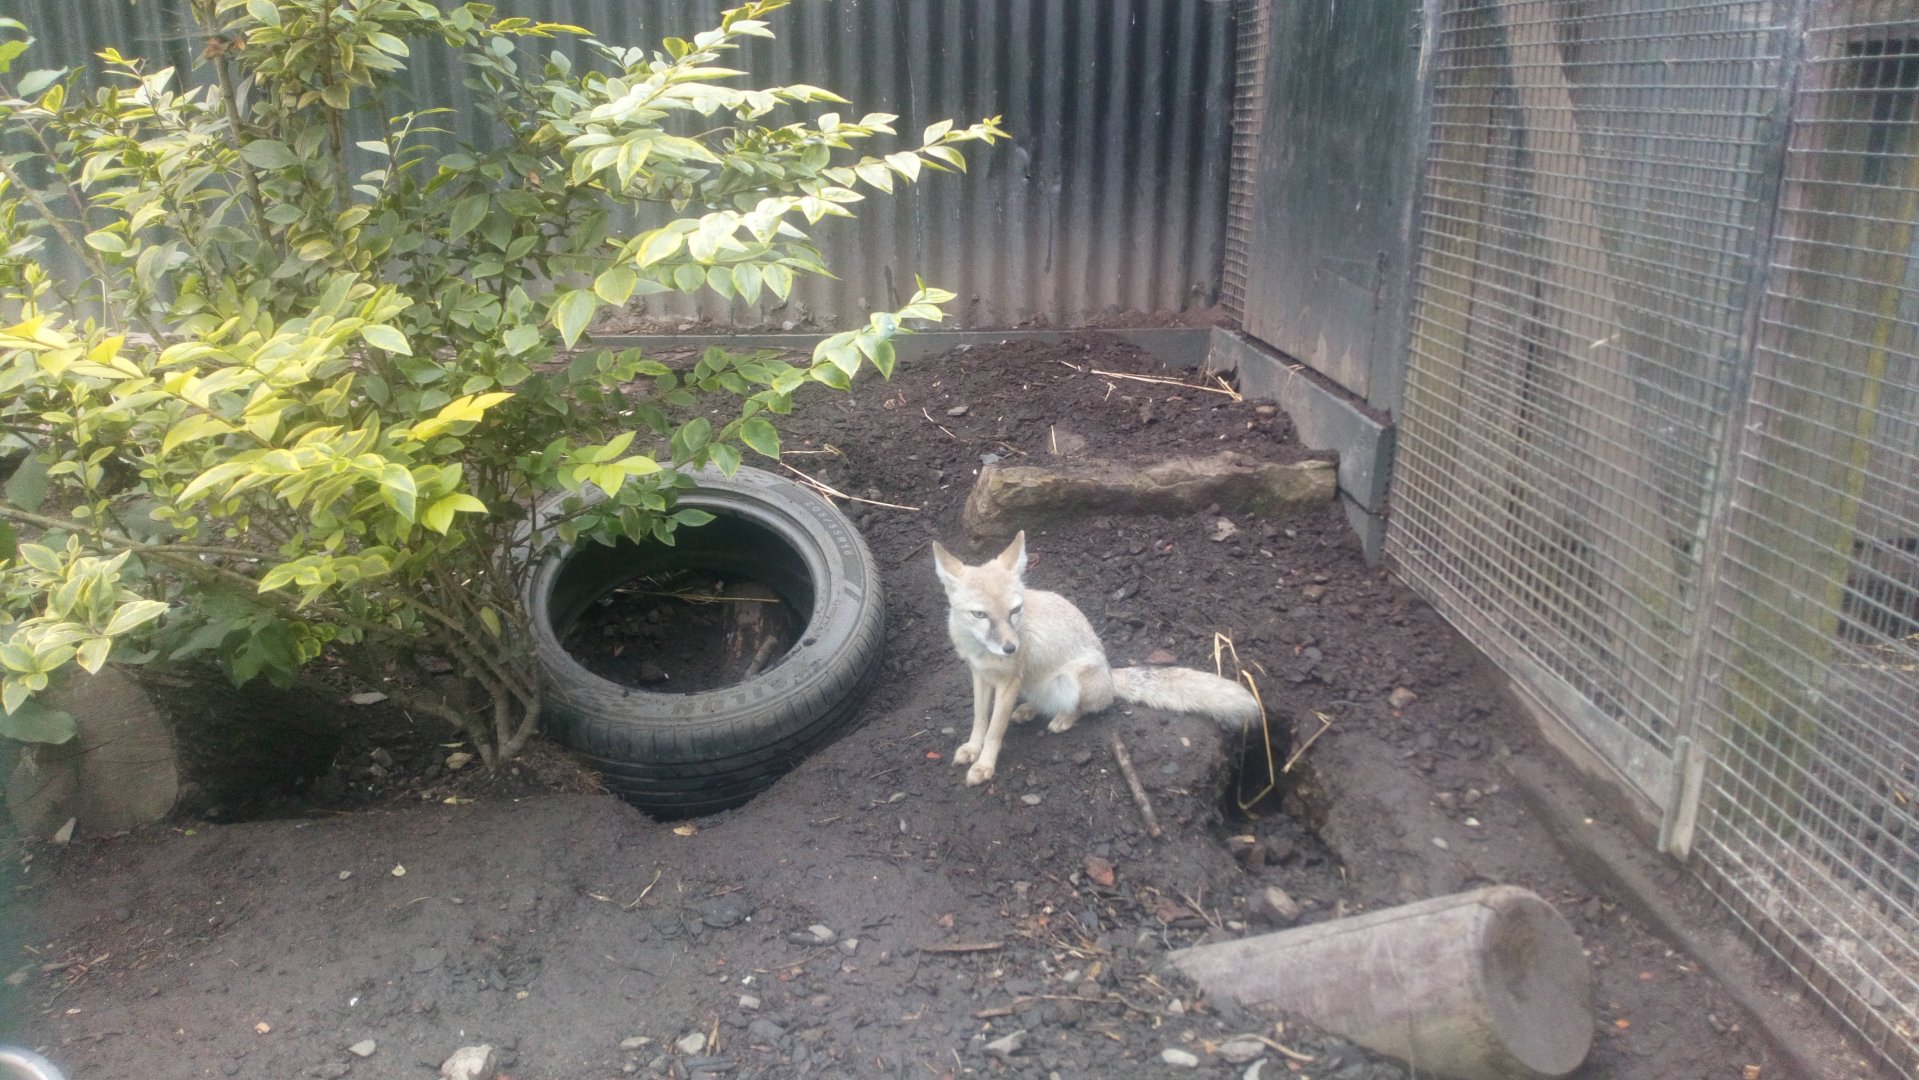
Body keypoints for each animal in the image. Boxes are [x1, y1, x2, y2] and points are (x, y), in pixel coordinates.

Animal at [931, 530, 1261, 786]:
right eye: (980, 614)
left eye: (1015, 610)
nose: (1011, 648)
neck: (980, 650)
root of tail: (1112, 676)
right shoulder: (981, 676)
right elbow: (980, 719)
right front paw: (972, 749)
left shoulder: (1008, 681)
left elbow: (995, 730)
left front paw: (984, 765)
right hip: (1032, 684)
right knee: (1044, 703)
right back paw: (1029, 710)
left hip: (1070, 679)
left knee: (1085, 708)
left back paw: (1063, 718)